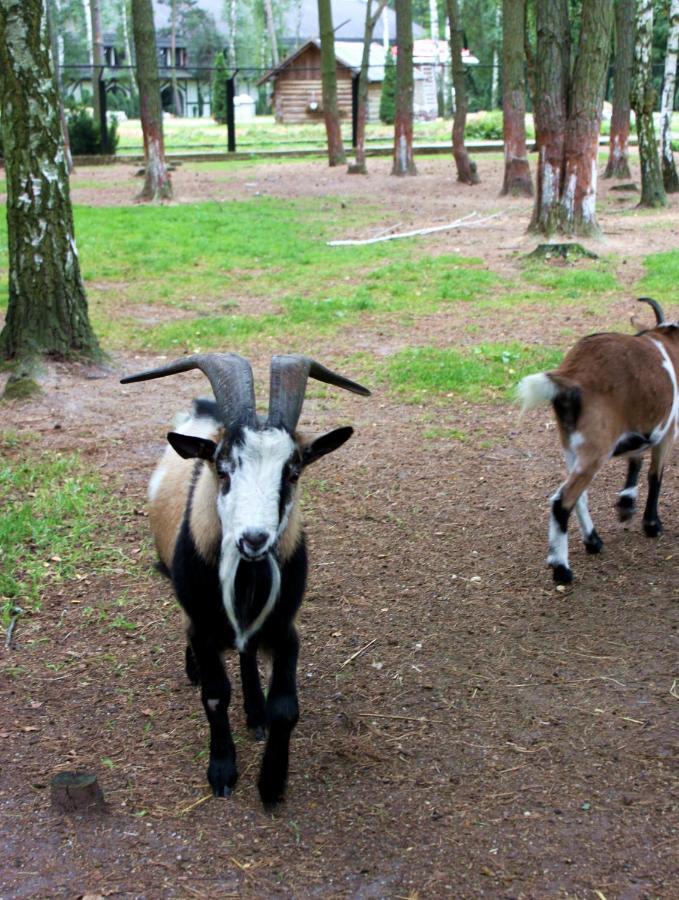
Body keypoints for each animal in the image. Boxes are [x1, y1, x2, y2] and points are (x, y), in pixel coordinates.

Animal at [119, 352, 370, 800]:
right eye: (222, 469)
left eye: (293, 472)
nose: (254, 539)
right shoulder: (204, 626)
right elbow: (215, 697)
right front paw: (222, 770)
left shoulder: (284, 628)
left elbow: (284, 706)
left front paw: (271, 783)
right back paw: (194, 671)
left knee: (247, 652)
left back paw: (253, 713)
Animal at [516, 298, 676, 588]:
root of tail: (571, 375)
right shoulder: (668, 431)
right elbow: (655, 475)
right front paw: (652, 525)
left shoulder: (638, 430)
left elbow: (635, 460)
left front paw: (626, 505)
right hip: (596, 448)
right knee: (563, 499)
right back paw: (562, 569)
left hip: (571, 444)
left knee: (579, 495)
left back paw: (593, 541)